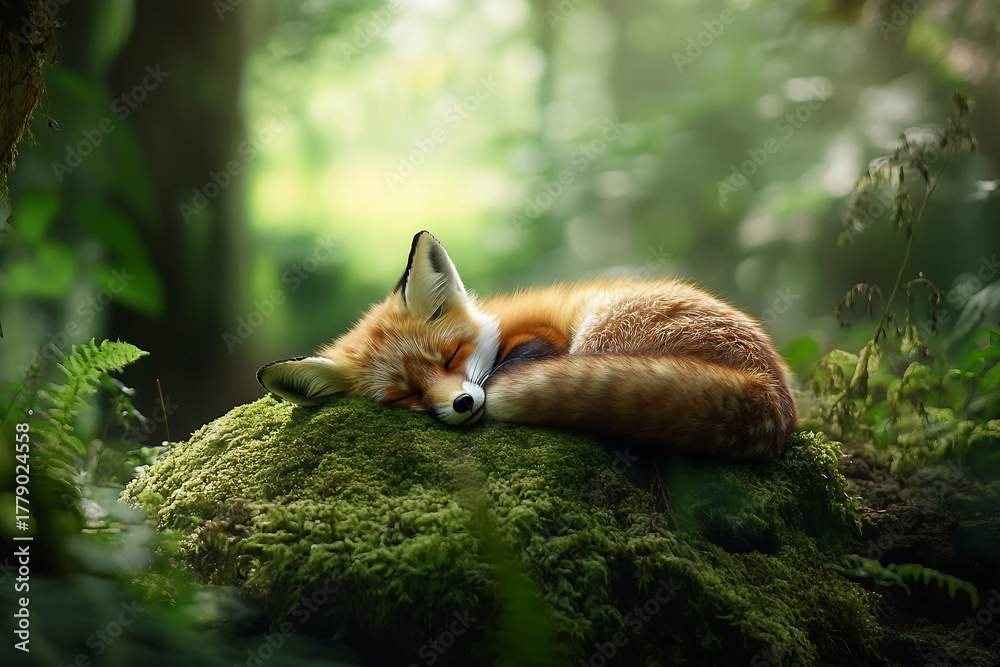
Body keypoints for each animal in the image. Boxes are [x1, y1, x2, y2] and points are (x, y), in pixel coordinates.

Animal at [257, 231, 797, 461]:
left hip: (603, 327)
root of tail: (772, 392)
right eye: (402, 397)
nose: (462, 403)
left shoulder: (546, 336)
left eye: (451, 356)